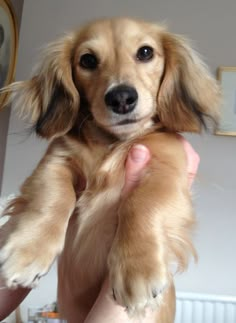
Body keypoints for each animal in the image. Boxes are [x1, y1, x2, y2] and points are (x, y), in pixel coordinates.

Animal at [0, 18, 220, 323]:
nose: (121, 98)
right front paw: (28, 250)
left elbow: (143, 202)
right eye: (88, 60)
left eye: (145, 52)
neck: (112, 143)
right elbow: (53, 196)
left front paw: (139, 269)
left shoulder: (167, 167)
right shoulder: (57, 160)